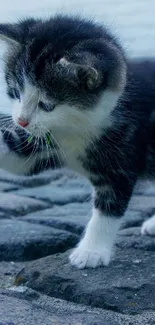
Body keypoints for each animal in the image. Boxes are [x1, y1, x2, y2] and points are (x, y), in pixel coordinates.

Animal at [0, 15, 155, 268]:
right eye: (15, 92)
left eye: (47, 105)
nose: (21, 121)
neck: (76, 128)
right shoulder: (47, 142)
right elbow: (19, 160)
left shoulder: (124, 152)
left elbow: (108, 207)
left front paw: (91, 252)